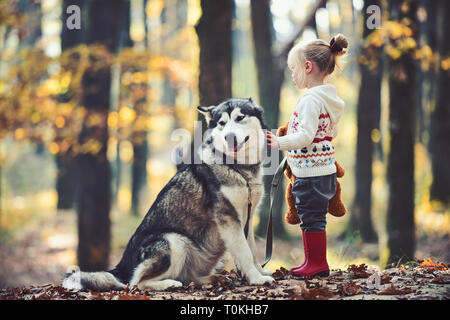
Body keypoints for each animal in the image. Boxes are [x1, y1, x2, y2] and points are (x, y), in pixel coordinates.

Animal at [62, 98, 274, 292]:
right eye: (221, 123)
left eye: (240, 118)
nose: (229, 137)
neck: (239, 168)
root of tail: (121, 266)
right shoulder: (229, 218)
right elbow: (245, 252)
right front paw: (256, 278)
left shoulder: (247, 217)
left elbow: (252, 250)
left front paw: (260, 271)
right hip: (174, 241)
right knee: (136, 283)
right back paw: (169, 283)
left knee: (186, 276)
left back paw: (211, 279)